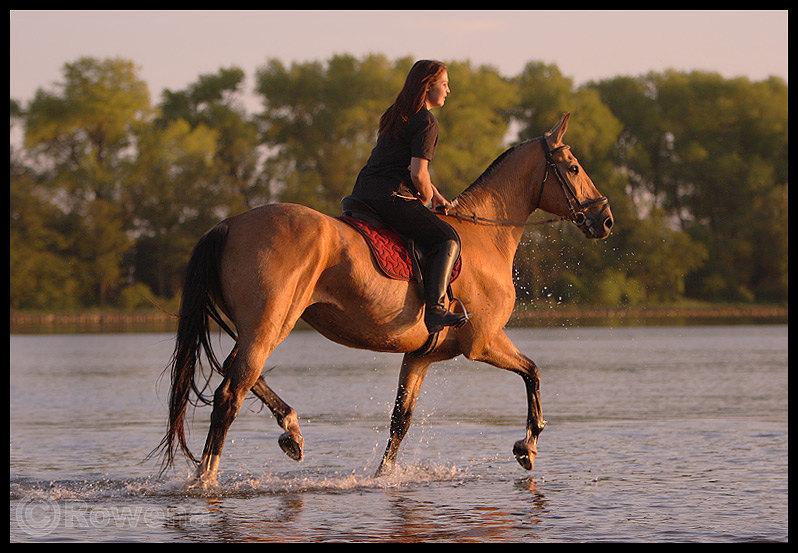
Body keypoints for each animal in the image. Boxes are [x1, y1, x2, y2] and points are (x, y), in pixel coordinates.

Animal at [158, 111, 620, 484]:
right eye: (573, 168)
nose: (605, 220)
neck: (484, 236)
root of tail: (230, 224)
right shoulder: (484, 341)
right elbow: (533, 372)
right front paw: (528, 447)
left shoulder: (420, 355)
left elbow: (401, 419)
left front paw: (383, 476)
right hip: (270, 324)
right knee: (230, 394)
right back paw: (206, 477)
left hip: (265, 325)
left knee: (239, 372)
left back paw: (291, 432)